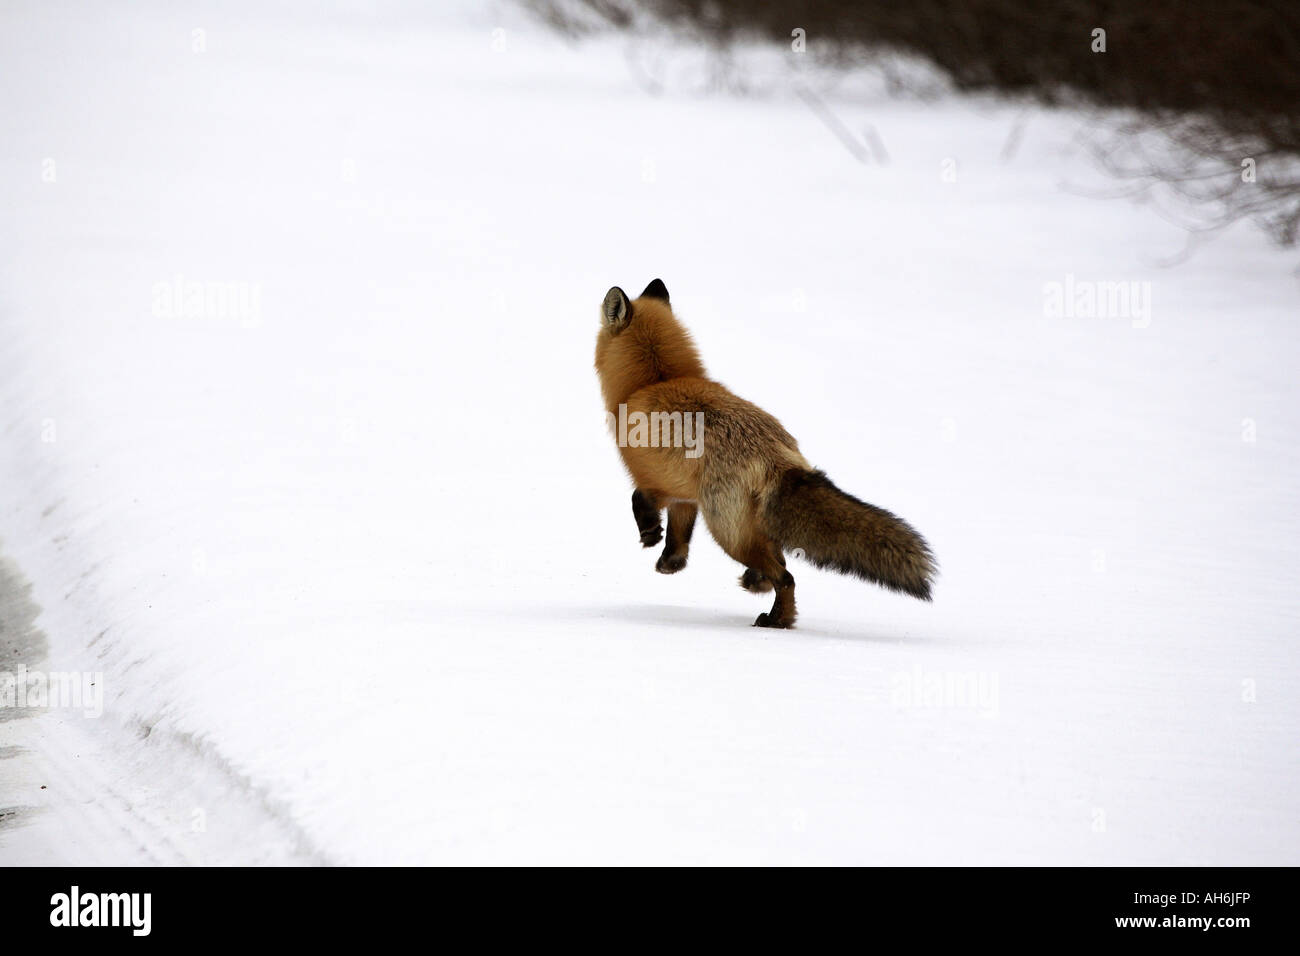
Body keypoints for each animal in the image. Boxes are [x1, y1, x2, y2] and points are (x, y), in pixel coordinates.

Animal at [598, 280, 935, 632]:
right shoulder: (685, 493)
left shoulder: (655, 477)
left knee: (786, 577)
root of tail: (776, 455)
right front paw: (670, 562)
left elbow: (640, 499)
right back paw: (759, 586)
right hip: (746, 525)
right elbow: (679, 536)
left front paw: (650, 533)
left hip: (727, 532)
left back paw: (777, 619)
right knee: (780, 563)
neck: (656, 379)